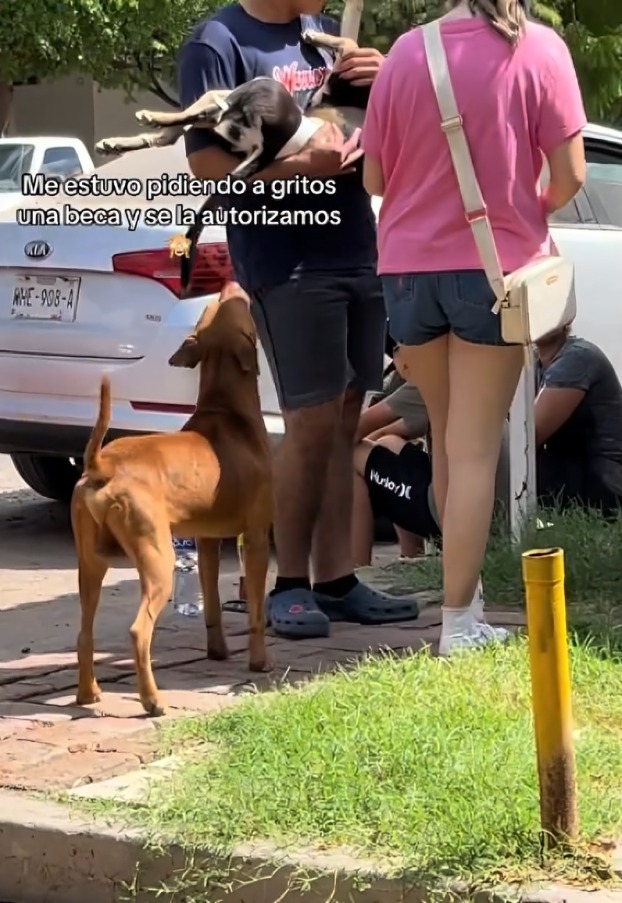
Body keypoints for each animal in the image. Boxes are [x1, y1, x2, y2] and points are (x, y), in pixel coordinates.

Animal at [70, 278, 272, 716]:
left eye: (214, 307)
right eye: (235, 304)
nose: (231, 281)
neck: (228, 410)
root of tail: (101, 464)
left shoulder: (208, 540)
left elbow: (212, 602)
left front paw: (218, 651)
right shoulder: (257, 536)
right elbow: (256, 611)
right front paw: (259, 662)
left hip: (90, 563)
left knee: (84, 632)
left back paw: (88, 694)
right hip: (157, 560)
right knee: (138, 631)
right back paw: (152, 700)